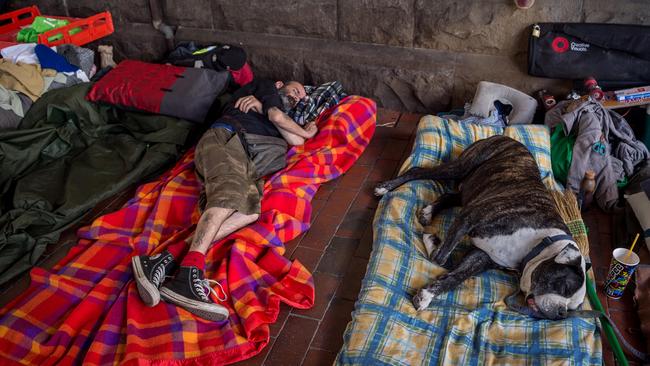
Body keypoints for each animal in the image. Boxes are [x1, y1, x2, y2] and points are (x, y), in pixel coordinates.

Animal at [372, 136, 584, 318]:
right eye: (564, 287)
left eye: (572, 307)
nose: (561, 313)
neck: (539, 242)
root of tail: (504, 136)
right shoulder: (469, 218)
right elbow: (440, 258)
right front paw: (433, 244)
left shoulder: (481, 256)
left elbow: (454, 275)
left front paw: (427, 295)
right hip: (462, 167)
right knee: (418, 170)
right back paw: (385, 187)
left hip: (472, 188)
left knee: (450, 196)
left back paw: (428, 212)